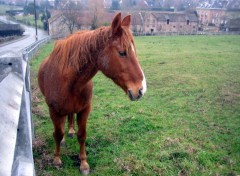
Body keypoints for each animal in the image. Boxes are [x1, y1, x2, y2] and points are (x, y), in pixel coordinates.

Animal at [37, 12, 146, 175]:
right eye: (122, 52)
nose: (141, 89)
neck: (69, 82)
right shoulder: (54, 110)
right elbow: (57, 134)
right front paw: (56, 159)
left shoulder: (84, 109)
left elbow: (82, 135)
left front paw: (83, 163)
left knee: (70, 117)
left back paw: (70, 130)